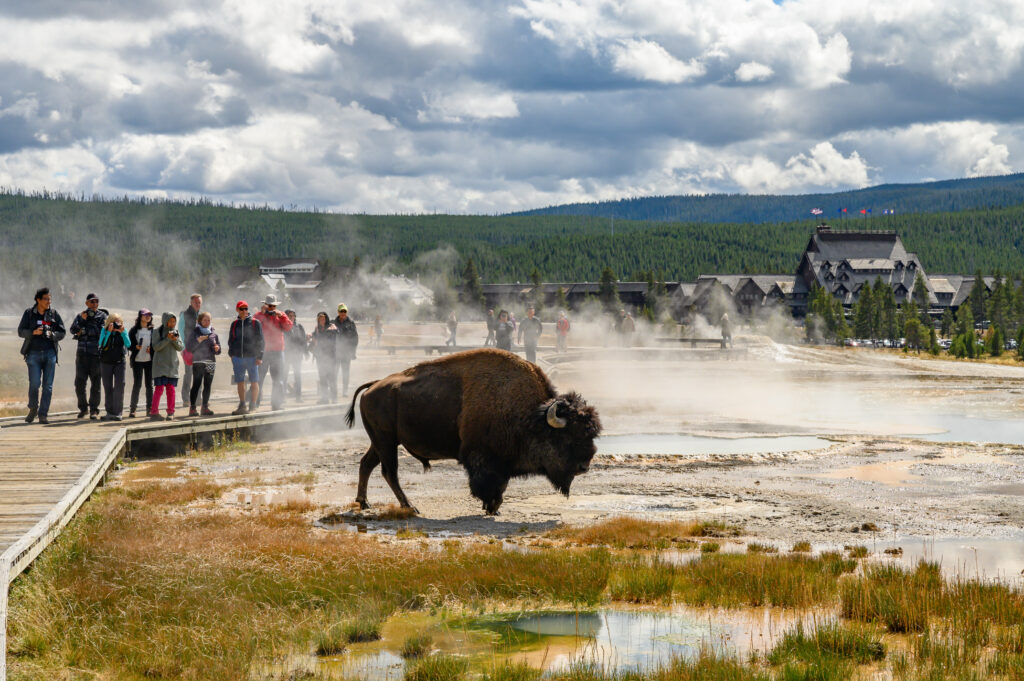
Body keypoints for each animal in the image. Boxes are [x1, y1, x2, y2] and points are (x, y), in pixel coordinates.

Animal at [346, 348, 598, 512]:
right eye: (567, 437)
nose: (584, 467)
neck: (531, 416)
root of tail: (372, 386)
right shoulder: (483, 459)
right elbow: (489, 483)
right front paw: (491, 506)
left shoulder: (502, 463)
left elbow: (501, 484)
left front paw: (494, 507)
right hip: (386, 442)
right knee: (390, 472)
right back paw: (410, 507)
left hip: (381, 442)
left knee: (367, 464)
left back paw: (364, 502)